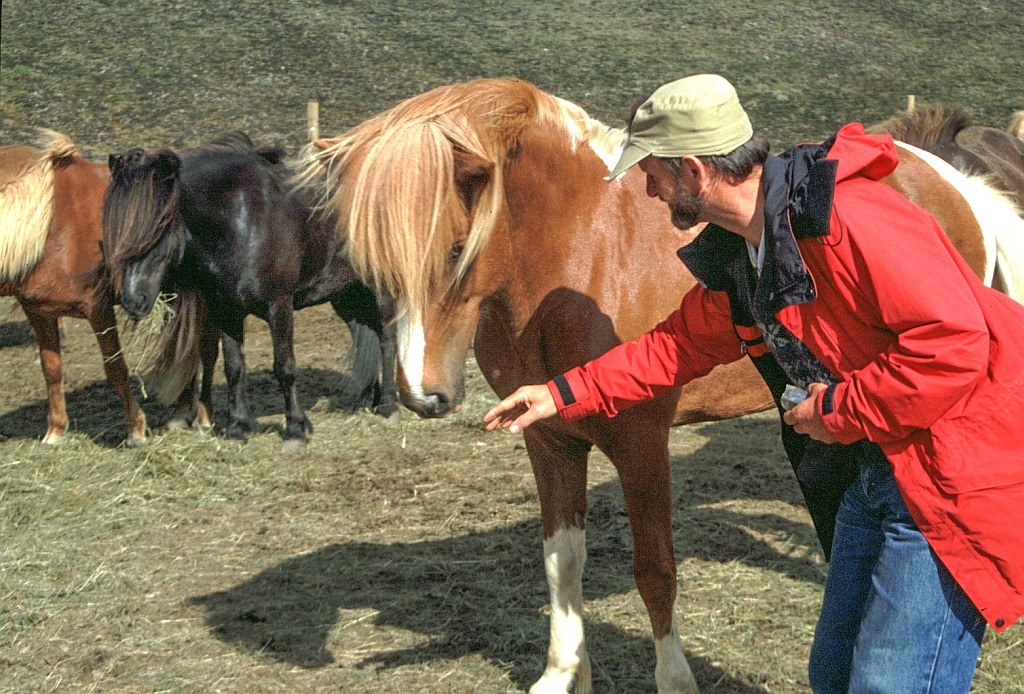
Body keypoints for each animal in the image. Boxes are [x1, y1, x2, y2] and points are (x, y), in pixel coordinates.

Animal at [0, 132, 148, 446]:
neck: (49, 228)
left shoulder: (98, 309)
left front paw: (136, 429)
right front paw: (55, 430)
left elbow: (115, 368)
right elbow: (52, 370)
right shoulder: (40, 313)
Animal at [99, 135, 395, 450]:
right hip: (345, 296)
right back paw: (368, 401)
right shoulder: (226, 310)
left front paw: (295, 430)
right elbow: (234, 368)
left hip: (380, 289)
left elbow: (284, 366)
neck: (243, 222)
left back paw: (389, 406)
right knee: (367, 334)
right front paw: (237, 427)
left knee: (387, 339)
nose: (133, 300)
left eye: (159, 223)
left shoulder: (279, 306)